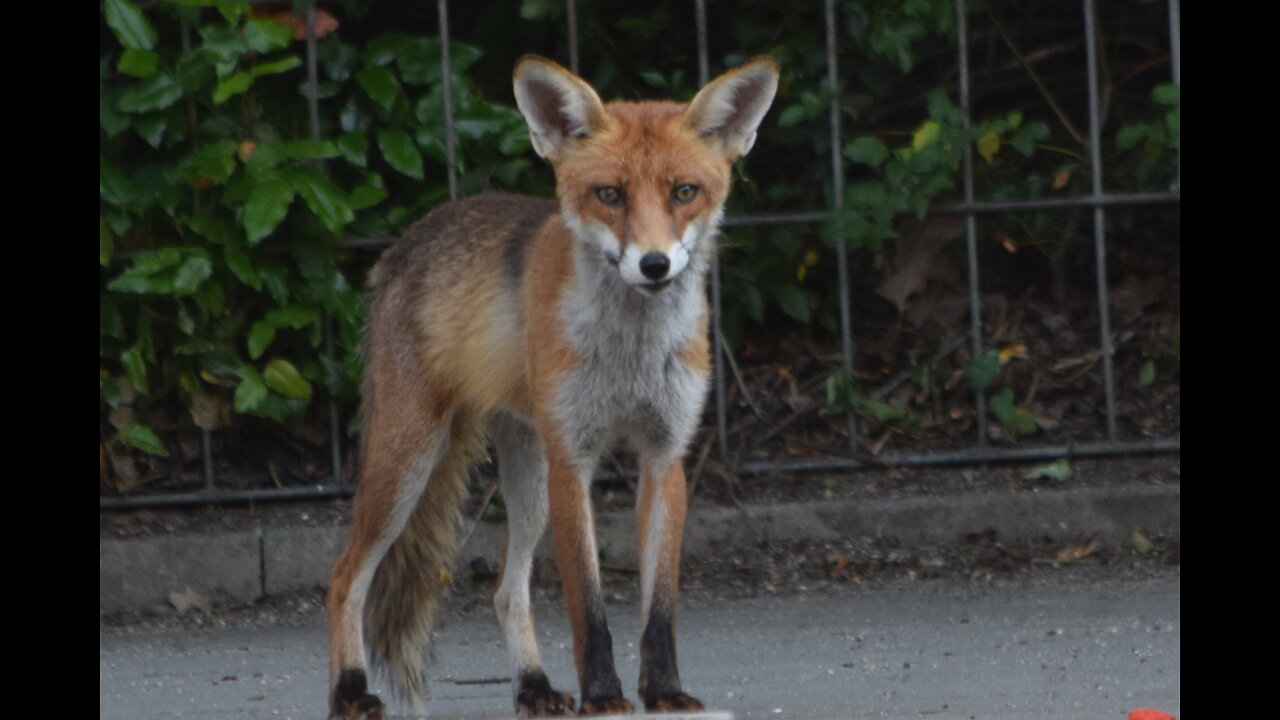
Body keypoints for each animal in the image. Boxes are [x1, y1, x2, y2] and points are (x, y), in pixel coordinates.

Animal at [325, 53, 773, 712]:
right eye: (609, 194)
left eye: (684, 192)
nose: (655, 264)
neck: (628, 353)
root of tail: (413, 235)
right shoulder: (573, 460)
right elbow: (588, 606)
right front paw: (605, 695)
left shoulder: (665, 456)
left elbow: (659, 608)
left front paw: (664, 691)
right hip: (408, 461)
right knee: (344, 578)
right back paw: (350, 691)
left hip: (526, 478)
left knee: (506, 591)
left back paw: (533, 686)